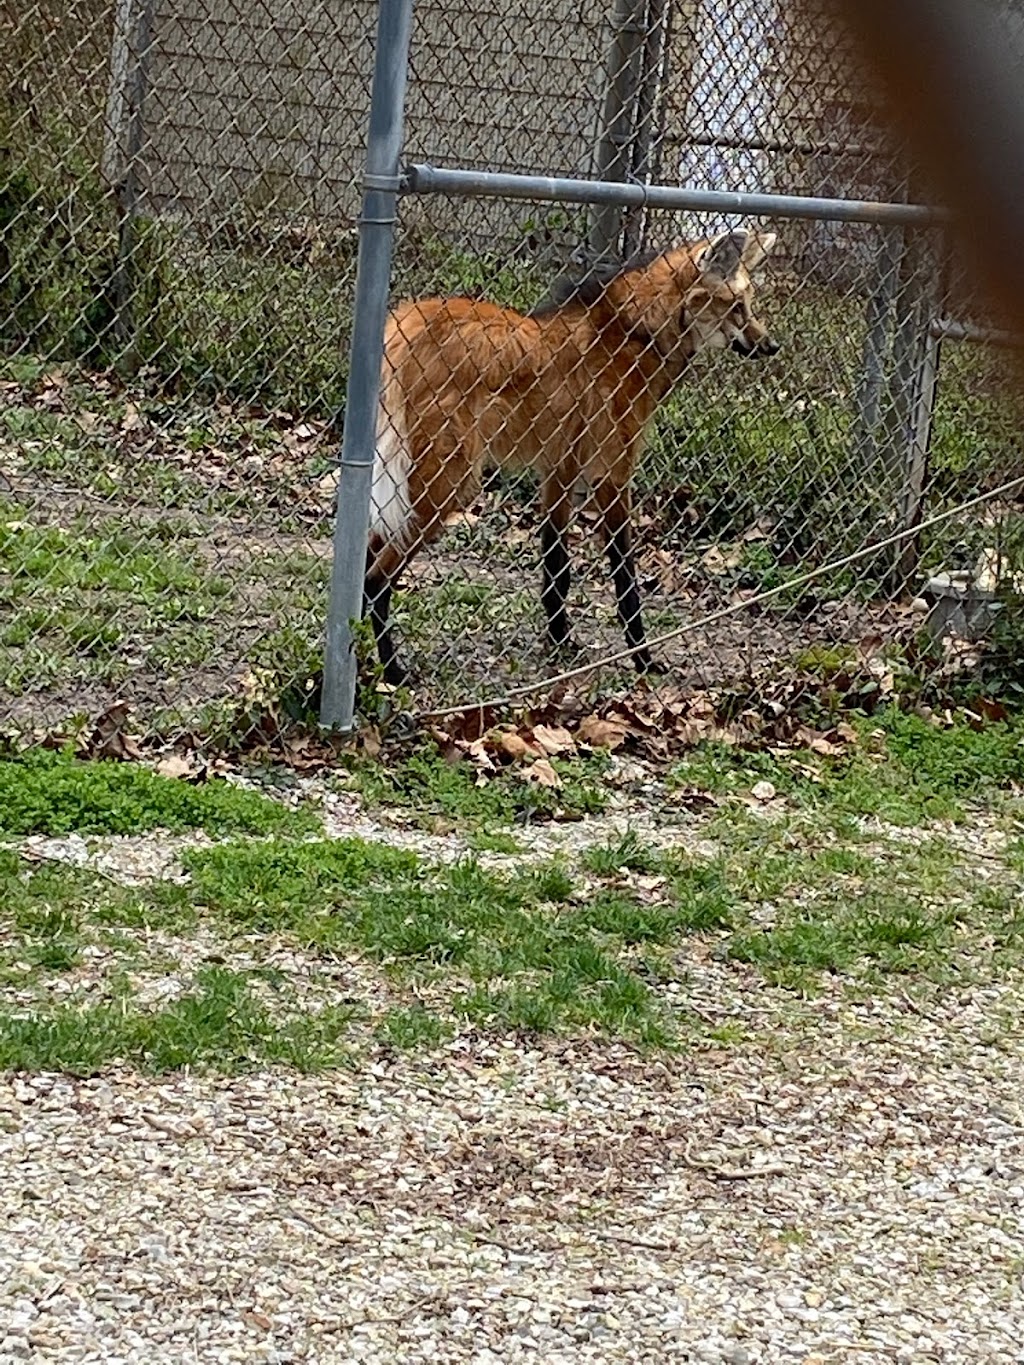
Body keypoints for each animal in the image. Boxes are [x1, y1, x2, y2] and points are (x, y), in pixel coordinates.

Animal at [357, 229, 775, 687]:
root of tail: (404, 321)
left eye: (749, 304)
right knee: (377, 578)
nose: (771, 345)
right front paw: (643, 659)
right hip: (450, 481)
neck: (637, 331)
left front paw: (561, 642)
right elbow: (624, 574)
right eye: (737, 306)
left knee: (365, 556)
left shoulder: (561, 466)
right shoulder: (611, 470)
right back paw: (392, 671)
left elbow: (557, 564)